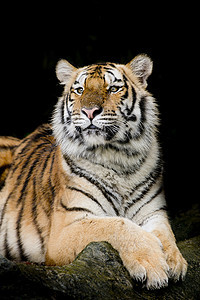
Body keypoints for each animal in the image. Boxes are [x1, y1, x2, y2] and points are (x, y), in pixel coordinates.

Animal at [0, 54, 188, 288]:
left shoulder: (154, 212)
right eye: (80, 90)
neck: (118, 157)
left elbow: (167, 235)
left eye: (113, 89)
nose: (89, 112)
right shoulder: (66, 229)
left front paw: (175, 261)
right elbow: (116, 224)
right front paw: (152, 265)